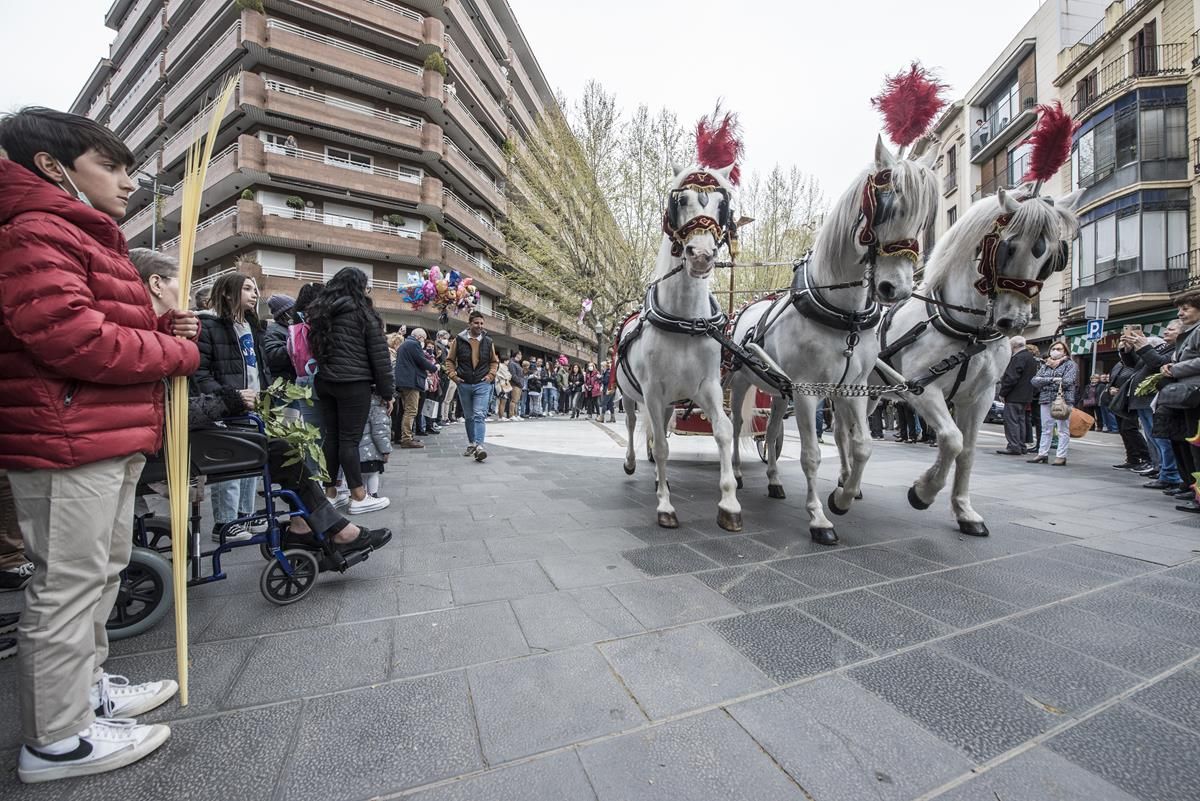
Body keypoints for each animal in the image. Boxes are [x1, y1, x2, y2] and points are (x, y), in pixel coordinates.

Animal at [614, 160, 744, 532]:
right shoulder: (652, 392)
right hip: (630, 396)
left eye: (723, 204)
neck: (686, 321)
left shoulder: (707, 387)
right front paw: (665, 506)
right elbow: (660, 447)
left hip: (671, 401)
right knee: (634, 426)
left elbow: (723, 431)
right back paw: (634, 463)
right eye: (680, 200)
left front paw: (729, 502)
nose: (700, 255)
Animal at [720, 139, 936, 551]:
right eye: (885, 207)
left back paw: (774, 481)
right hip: (740, 381)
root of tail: (745, 308)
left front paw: (842, 498)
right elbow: (811, 455)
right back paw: (737, 473)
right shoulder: (807, 391)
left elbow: (862, 446)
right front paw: (819, 518)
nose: (895, 289)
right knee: (738, 423)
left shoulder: (852, 388)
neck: (844, 315)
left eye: (923, 219)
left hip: (779, 390)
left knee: (771, 431)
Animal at [868, 187, 1084, 534]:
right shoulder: (921, 389)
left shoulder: (979, 397)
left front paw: (964, 511)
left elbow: (967, 451)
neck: (968, 330)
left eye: (1053, 257)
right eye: (1008, 247)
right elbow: (952, 440)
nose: (1013, 321)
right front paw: (923, 492)